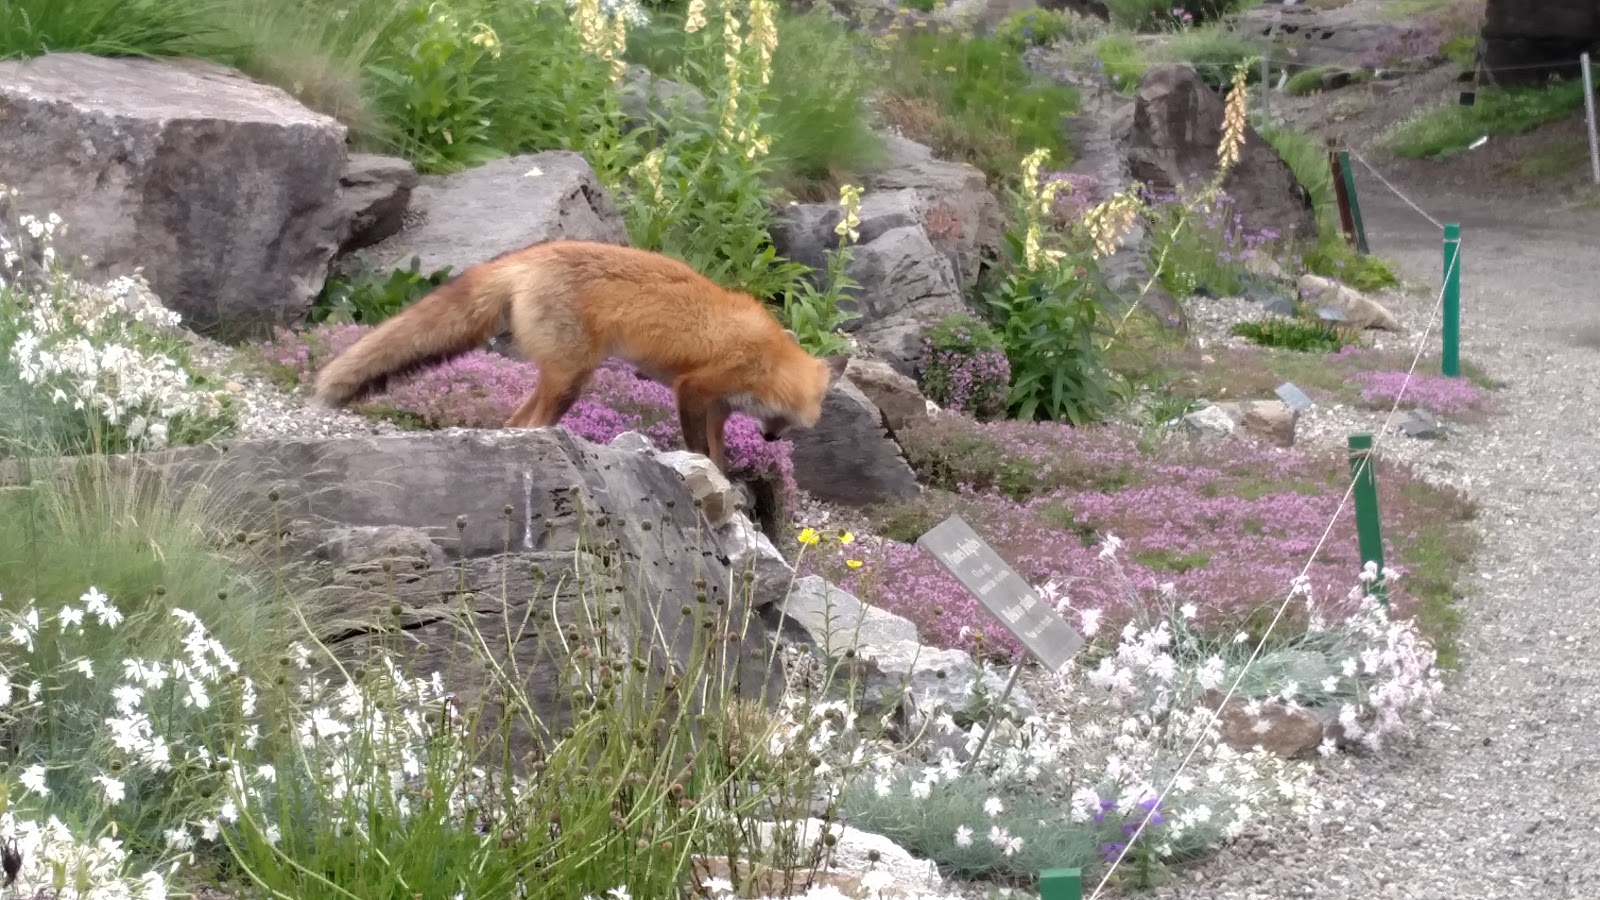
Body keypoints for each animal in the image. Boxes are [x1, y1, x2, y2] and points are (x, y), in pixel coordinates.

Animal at [311, 239, 850, 475]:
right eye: (790, 424)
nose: (771, 439)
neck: (768, 358)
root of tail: (528, 256)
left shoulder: (718, 407)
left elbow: (717, 451)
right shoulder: (694, 389)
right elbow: (700, 451)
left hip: (560, 377)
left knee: (511, 425)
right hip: (573, 378)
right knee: (528, 427)